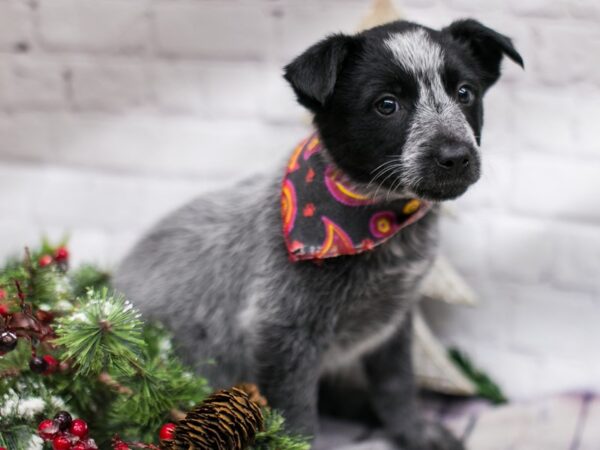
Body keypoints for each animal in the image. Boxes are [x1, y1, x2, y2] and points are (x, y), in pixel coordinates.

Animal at [115, 18, 524, 450]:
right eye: (386, 104)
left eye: (465, 93)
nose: (455, 157)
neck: (378, 222)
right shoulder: (281, 334)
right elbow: (297, 418)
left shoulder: (393, 323)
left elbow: (397, 386)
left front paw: (415, 433)